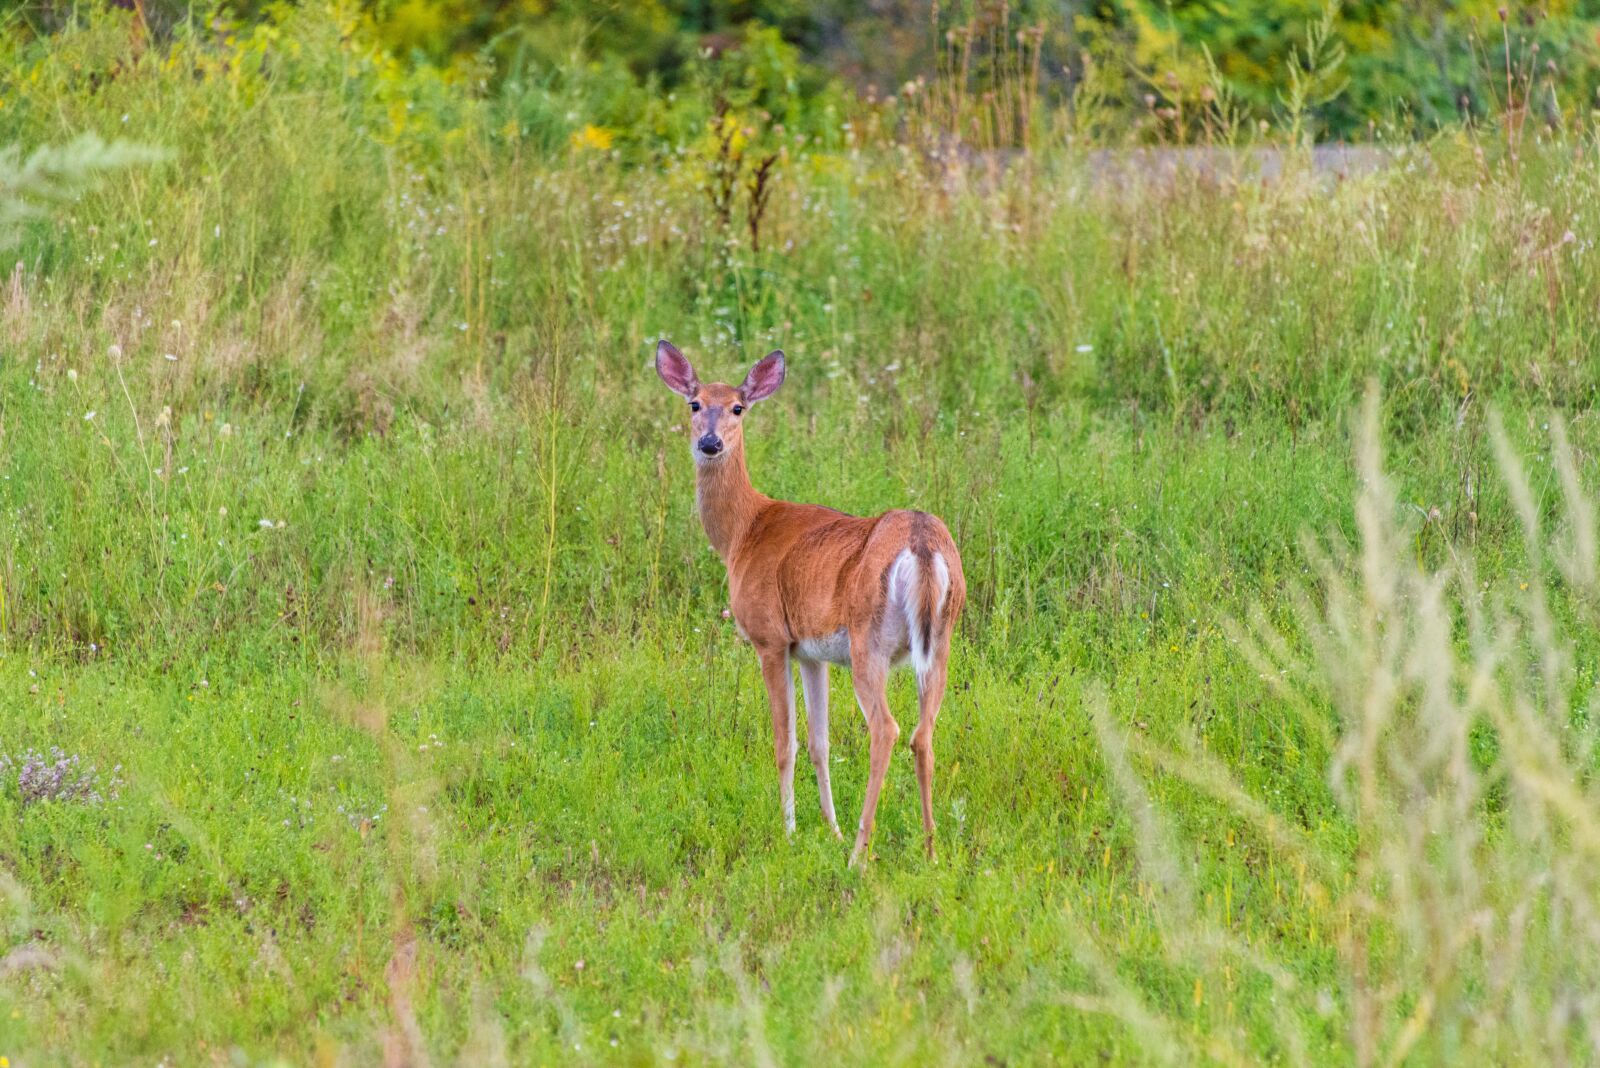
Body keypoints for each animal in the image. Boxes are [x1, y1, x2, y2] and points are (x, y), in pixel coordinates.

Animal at [656, 342, 966, 869]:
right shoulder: (811, 653)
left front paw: (790, 833)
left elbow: (786, 742)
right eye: (694, 404)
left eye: (738, 407)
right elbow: (820, 742)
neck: (743, 531)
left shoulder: (770, 638)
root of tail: (922, 543)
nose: (711, 443)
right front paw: (830, 829)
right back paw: (929, 850)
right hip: (940, 641)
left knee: (885, 729)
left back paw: (860, 855)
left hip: (868, 642)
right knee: (923, 732)